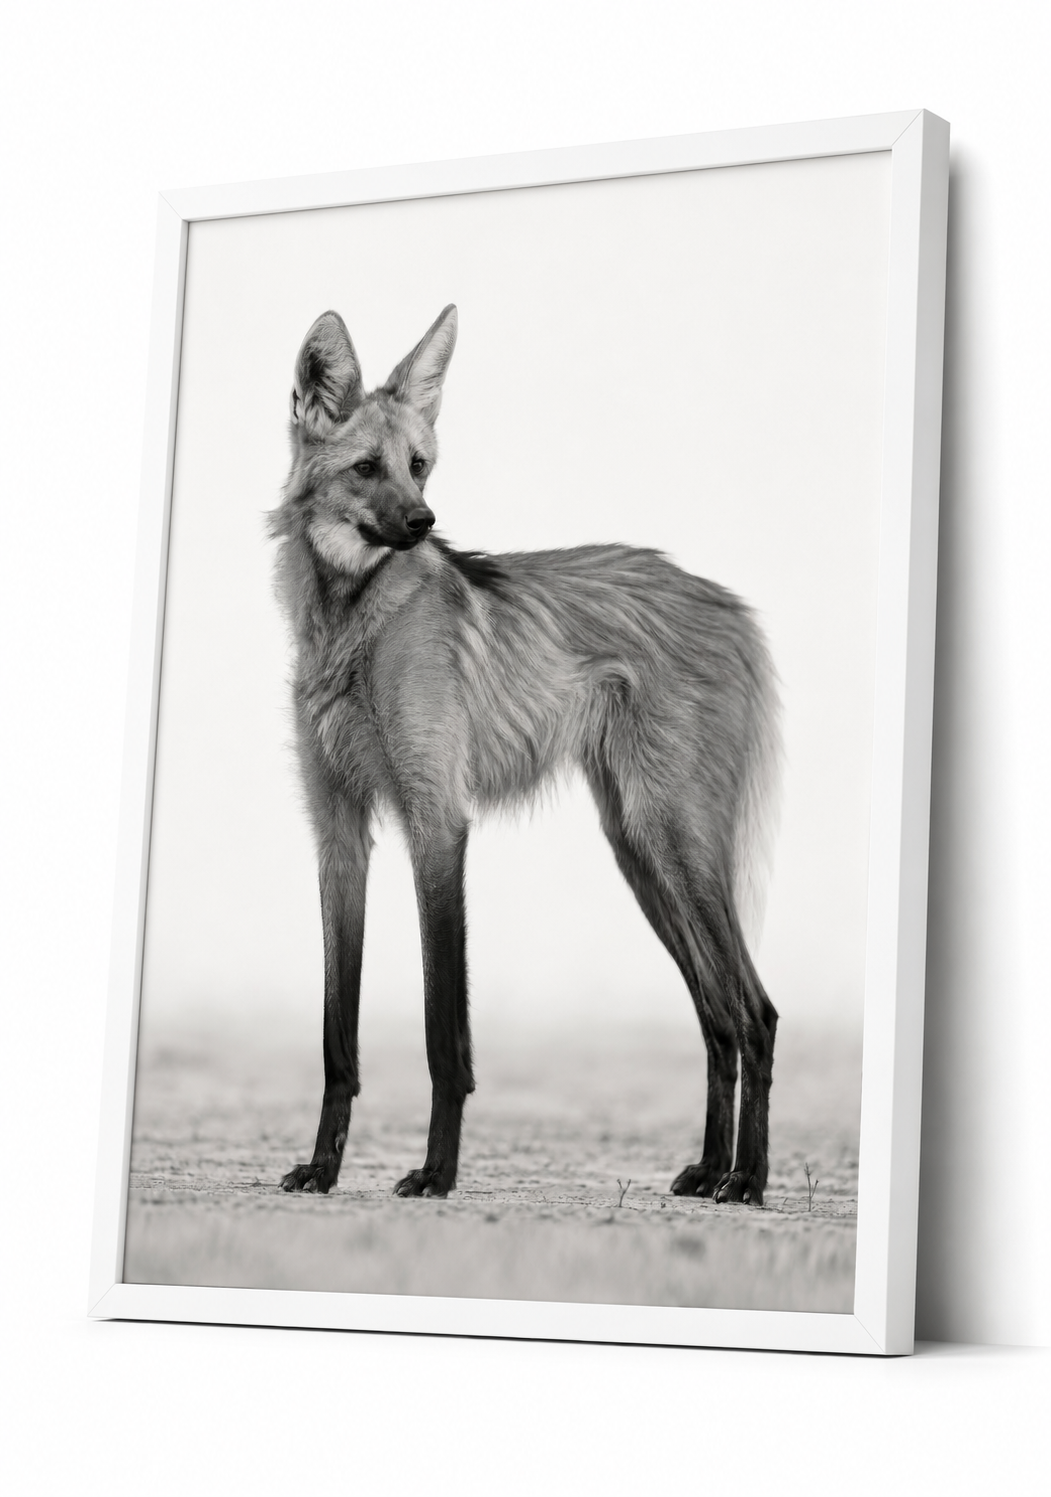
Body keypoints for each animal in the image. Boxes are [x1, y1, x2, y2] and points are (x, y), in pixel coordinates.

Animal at [271, 304, 782, 1205]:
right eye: (366, 468)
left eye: (419, 466)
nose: (423, 524)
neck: (350, 623)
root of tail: (731, 603)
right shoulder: (339, 835)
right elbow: (338, 1034)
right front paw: (324, 1167)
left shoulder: (437, 823)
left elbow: (444, 1032)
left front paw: (436, 1173)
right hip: (639, 850)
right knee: (717, 1017)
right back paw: (709, 1168)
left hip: (673, 840)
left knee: (753, 1011)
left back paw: (747, 1180)